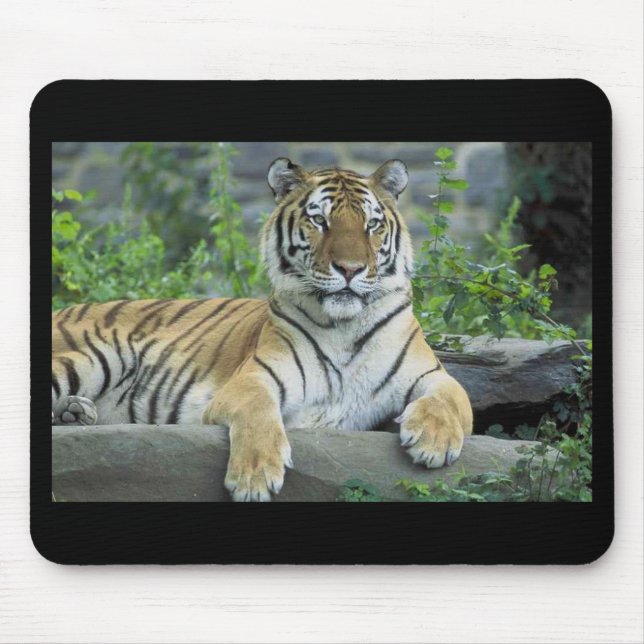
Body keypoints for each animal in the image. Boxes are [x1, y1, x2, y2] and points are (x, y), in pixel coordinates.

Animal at [52, 157, 473, 502]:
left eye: (372, 225)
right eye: (320, 221)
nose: (350, 269)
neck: (343, 326)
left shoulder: (431, 373)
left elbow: (451, 398)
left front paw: (433, 442)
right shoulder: (253, 378)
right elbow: (258, 412)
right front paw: (254, 479)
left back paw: (75, 412)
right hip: (99, 355)